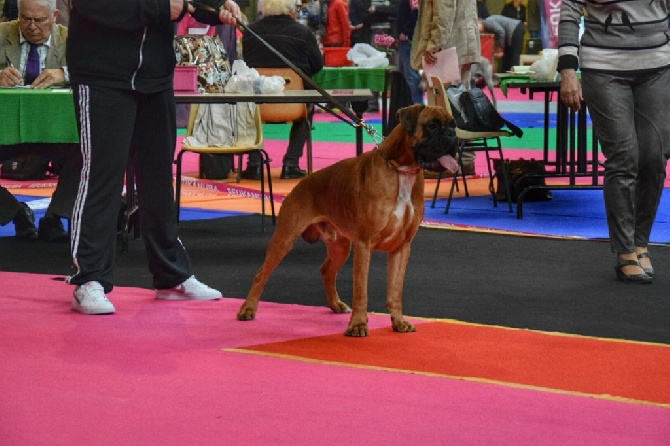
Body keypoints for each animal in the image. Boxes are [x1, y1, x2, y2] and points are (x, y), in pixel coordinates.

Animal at [238, 103, 462, 334]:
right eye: (432, 125)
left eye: (453, 125)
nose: (452, 135)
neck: (401, 170)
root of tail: (303, 182)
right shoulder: (364, 245)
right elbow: (361, 290)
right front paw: (358, 325)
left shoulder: (401, 247)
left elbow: (395, 290)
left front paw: (398, 321)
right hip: (284, 240)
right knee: (261, 273)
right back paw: (248, 309)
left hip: (340, 246)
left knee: (327, 271)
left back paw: (335, 304)